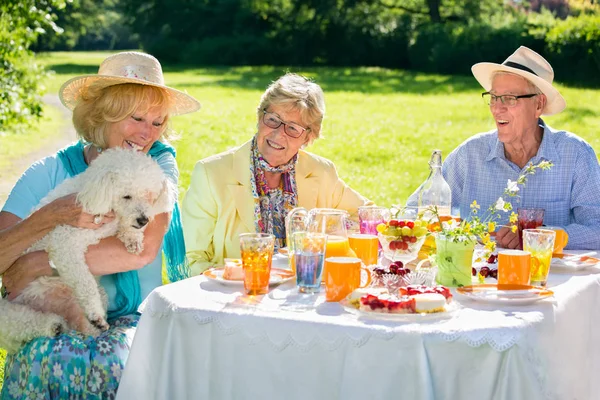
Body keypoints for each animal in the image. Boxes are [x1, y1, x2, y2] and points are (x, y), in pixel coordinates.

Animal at [0, 148, 176, 354]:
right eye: (126, 196)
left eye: (148, 196)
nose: (143, 220)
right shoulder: (65, 243)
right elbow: (84, 283)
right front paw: (95, 313)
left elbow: (126, 228)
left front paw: (133, 238)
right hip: (8, 312)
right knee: (24, 321)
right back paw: (54, 325)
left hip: (92, 299)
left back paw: (85, 329)